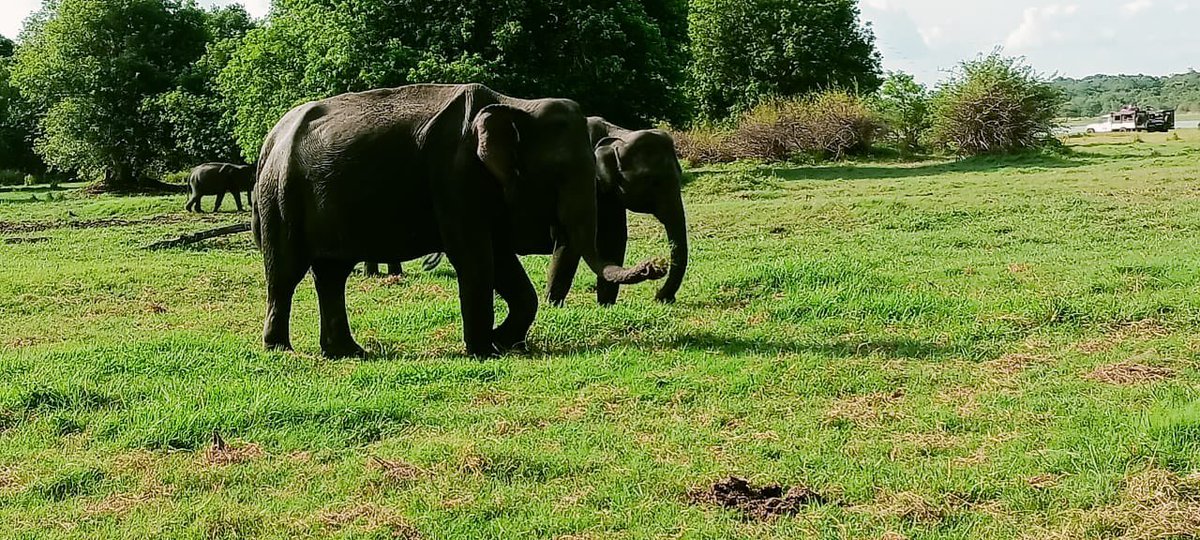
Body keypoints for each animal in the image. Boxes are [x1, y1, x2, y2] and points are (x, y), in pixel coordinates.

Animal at [253, 84, 667, 358]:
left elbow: (501, 257)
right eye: (560, 171)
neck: (514, 105)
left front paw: (505, 341)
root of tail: (270, 139)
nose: (655, 266)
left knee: (331, 274)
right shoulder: (455, 174)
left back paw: (347, 352)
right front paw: (485, 351)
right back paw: (281, 351)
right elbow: (475, 255)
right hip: (280, 197)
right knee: (286, 273)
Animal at [545, 117, 688, 305]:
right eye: (653, 182)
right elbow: (569, 240)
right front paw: (553, 304)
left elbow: (613, 237)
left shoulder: (609, 193)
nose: (661, 297)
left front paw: (606, 305)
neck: (617, 134)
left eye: (680, 175)